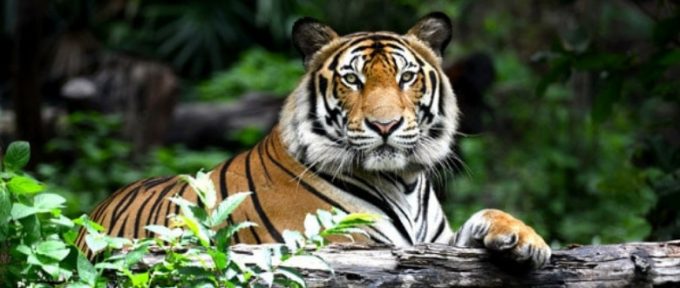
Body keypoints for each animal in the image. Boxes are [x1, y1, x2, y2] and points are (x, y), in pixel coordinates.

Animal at [75, 11, 552, 268]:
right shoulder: (344, 244)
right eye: (352, 79)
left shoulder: (434, 243)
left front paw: (525, 240)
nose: (385, 125)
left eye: (406, 77)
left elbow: (484, 217)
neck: (403, 181)